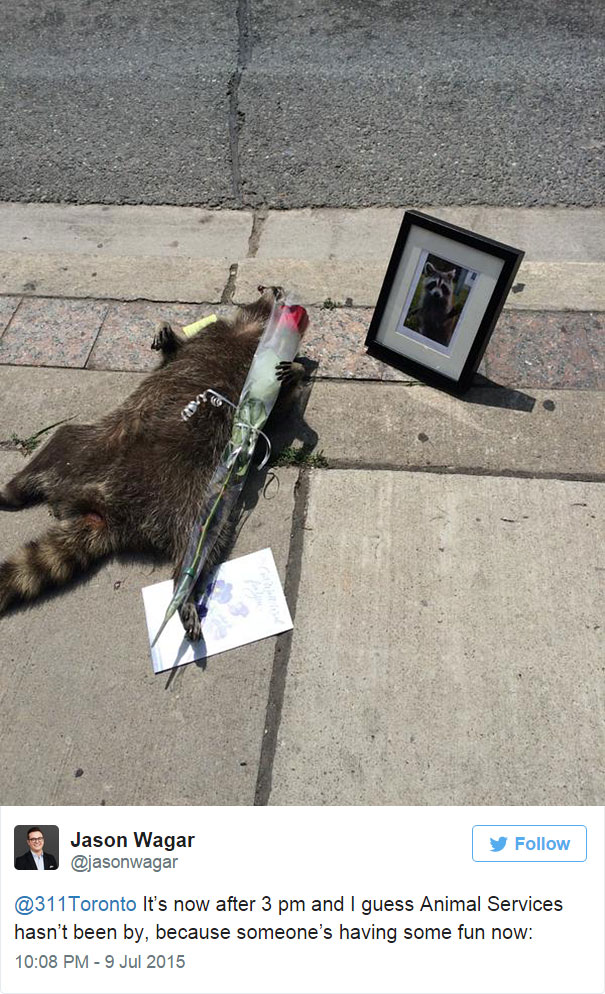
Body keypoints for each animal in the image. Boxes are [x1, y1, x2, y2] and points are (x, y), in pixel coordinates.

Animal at [0, 286, 302, 644]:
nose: (276, 289)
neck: (253, 327)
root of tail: (108, 510)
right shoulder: (211, 334)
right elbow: (174, 352)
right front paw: (166, 330)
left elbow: (281, 406)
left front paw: (297, 371)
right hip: (97, 445)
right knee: (63, 439)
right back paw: (14, 488)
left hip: (195, 497)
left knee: (202, 540)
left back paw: (184, 589)